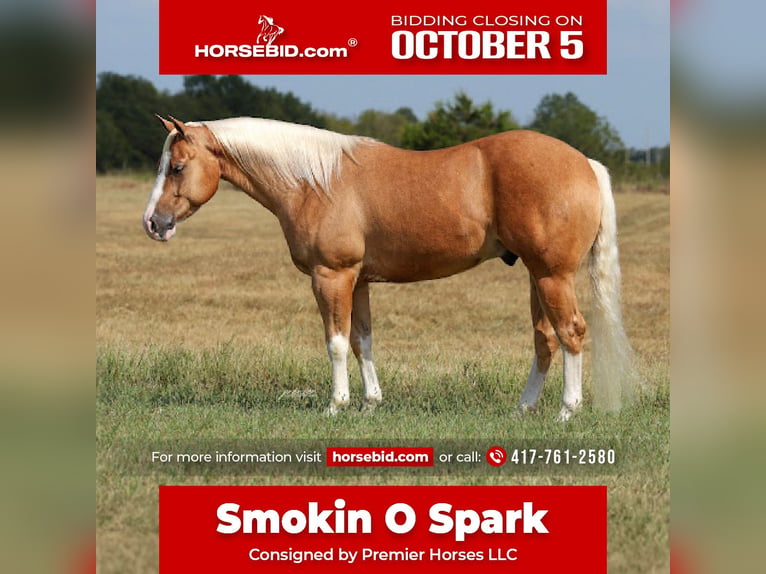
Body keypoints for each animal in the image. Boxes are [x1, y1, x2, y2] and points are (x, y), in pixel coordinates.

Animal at [144, 115, 639, 421]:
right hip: (537, 276)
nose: (153, 223)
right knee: (545, 340)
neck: (313, 181)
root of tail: (586, 164)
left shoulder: (332, 276)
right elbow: (362, 341)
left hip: (553, 276)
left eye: (178, 166)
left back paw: (566, 411)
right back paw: (524, 408)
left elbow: (336, 342)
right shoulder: (359, 280)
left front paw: (337, 404)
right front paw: (370, 403)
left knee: (571, 332)